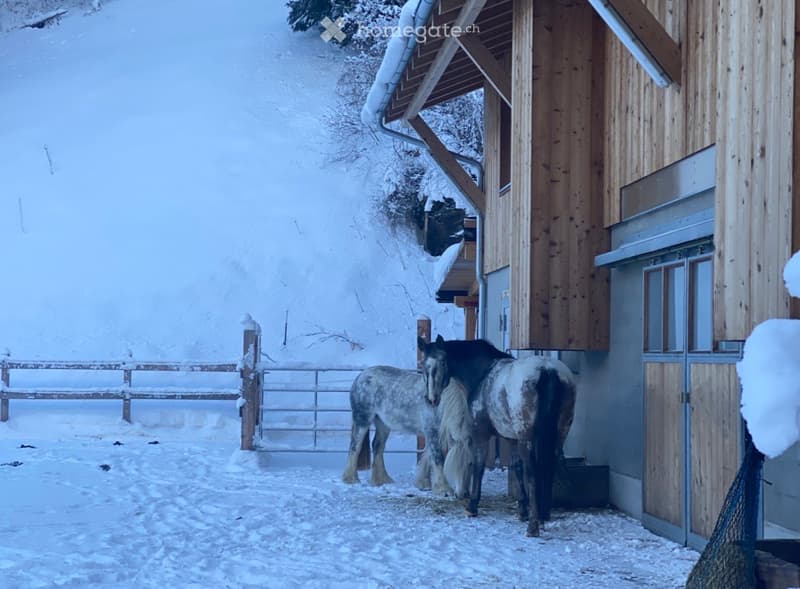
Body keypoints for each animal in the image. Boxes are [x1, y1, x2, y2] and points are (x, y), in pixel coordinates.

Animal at [341, 365, 471, 496]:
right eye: (455, 465)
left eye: (469, 464)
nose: (463, 494)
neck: (441, 404)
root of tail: (361, 375)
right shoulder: (432, 431)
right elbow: (437, 458)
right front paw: (443, 489)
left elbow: (428, 456)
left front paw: (424, 483)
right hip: (363, 420)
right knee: (355, 446)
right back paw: (351, 479)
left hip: (383, 423)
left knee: (378, 446)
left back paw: (381, 480)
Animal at [418, 336, 576, 537]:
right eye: (424, 365)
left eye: (443, 362)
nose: (432, 399)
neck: (484, 373)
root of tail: (547, 370)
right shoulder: (512, 438)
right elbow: (516, 467)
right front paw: (522, 510)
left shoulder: (481, 434)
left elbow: (479, 465)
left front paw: (472, 506)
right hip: (560, 433)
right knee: (549, 467)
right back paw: (542, 516)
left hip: (527, 438)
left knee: (532, 472)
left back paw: (533, 525)